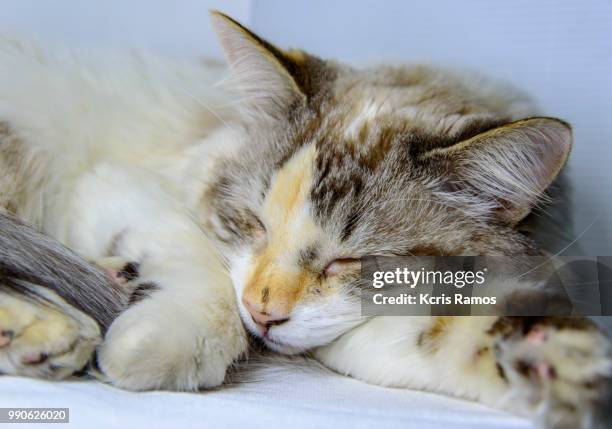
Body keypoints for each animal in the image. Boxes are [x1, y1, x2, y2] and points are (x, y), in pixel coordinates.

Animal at [0, 11, 608, 426]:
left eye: (349, 261)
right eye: (252, 223)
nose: (263, 313)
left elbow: (461, 336)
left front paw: (567, 371)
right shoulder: (113, 187)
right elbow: (207, 274)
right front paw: (148, 350)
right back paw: (59, 331)